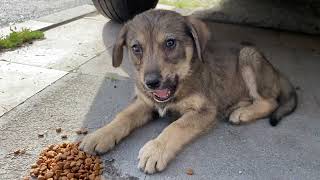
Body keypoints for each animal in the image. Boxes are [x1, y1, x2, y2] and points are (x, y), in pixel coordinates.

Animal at [80, 9, 298, 174]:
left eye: (170, 43)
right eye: (136, 48)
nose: (151, 83)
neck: (183, 82)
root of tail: (276, 71)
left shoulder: (205, 110)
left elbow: (176, 126)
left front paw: (156, 150)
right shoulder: (145, 101)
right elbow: (124, 115)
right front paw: (101, 134)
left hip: (248, 55)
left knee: (270, 102)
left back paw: (243, 113)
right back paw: (236, 107)